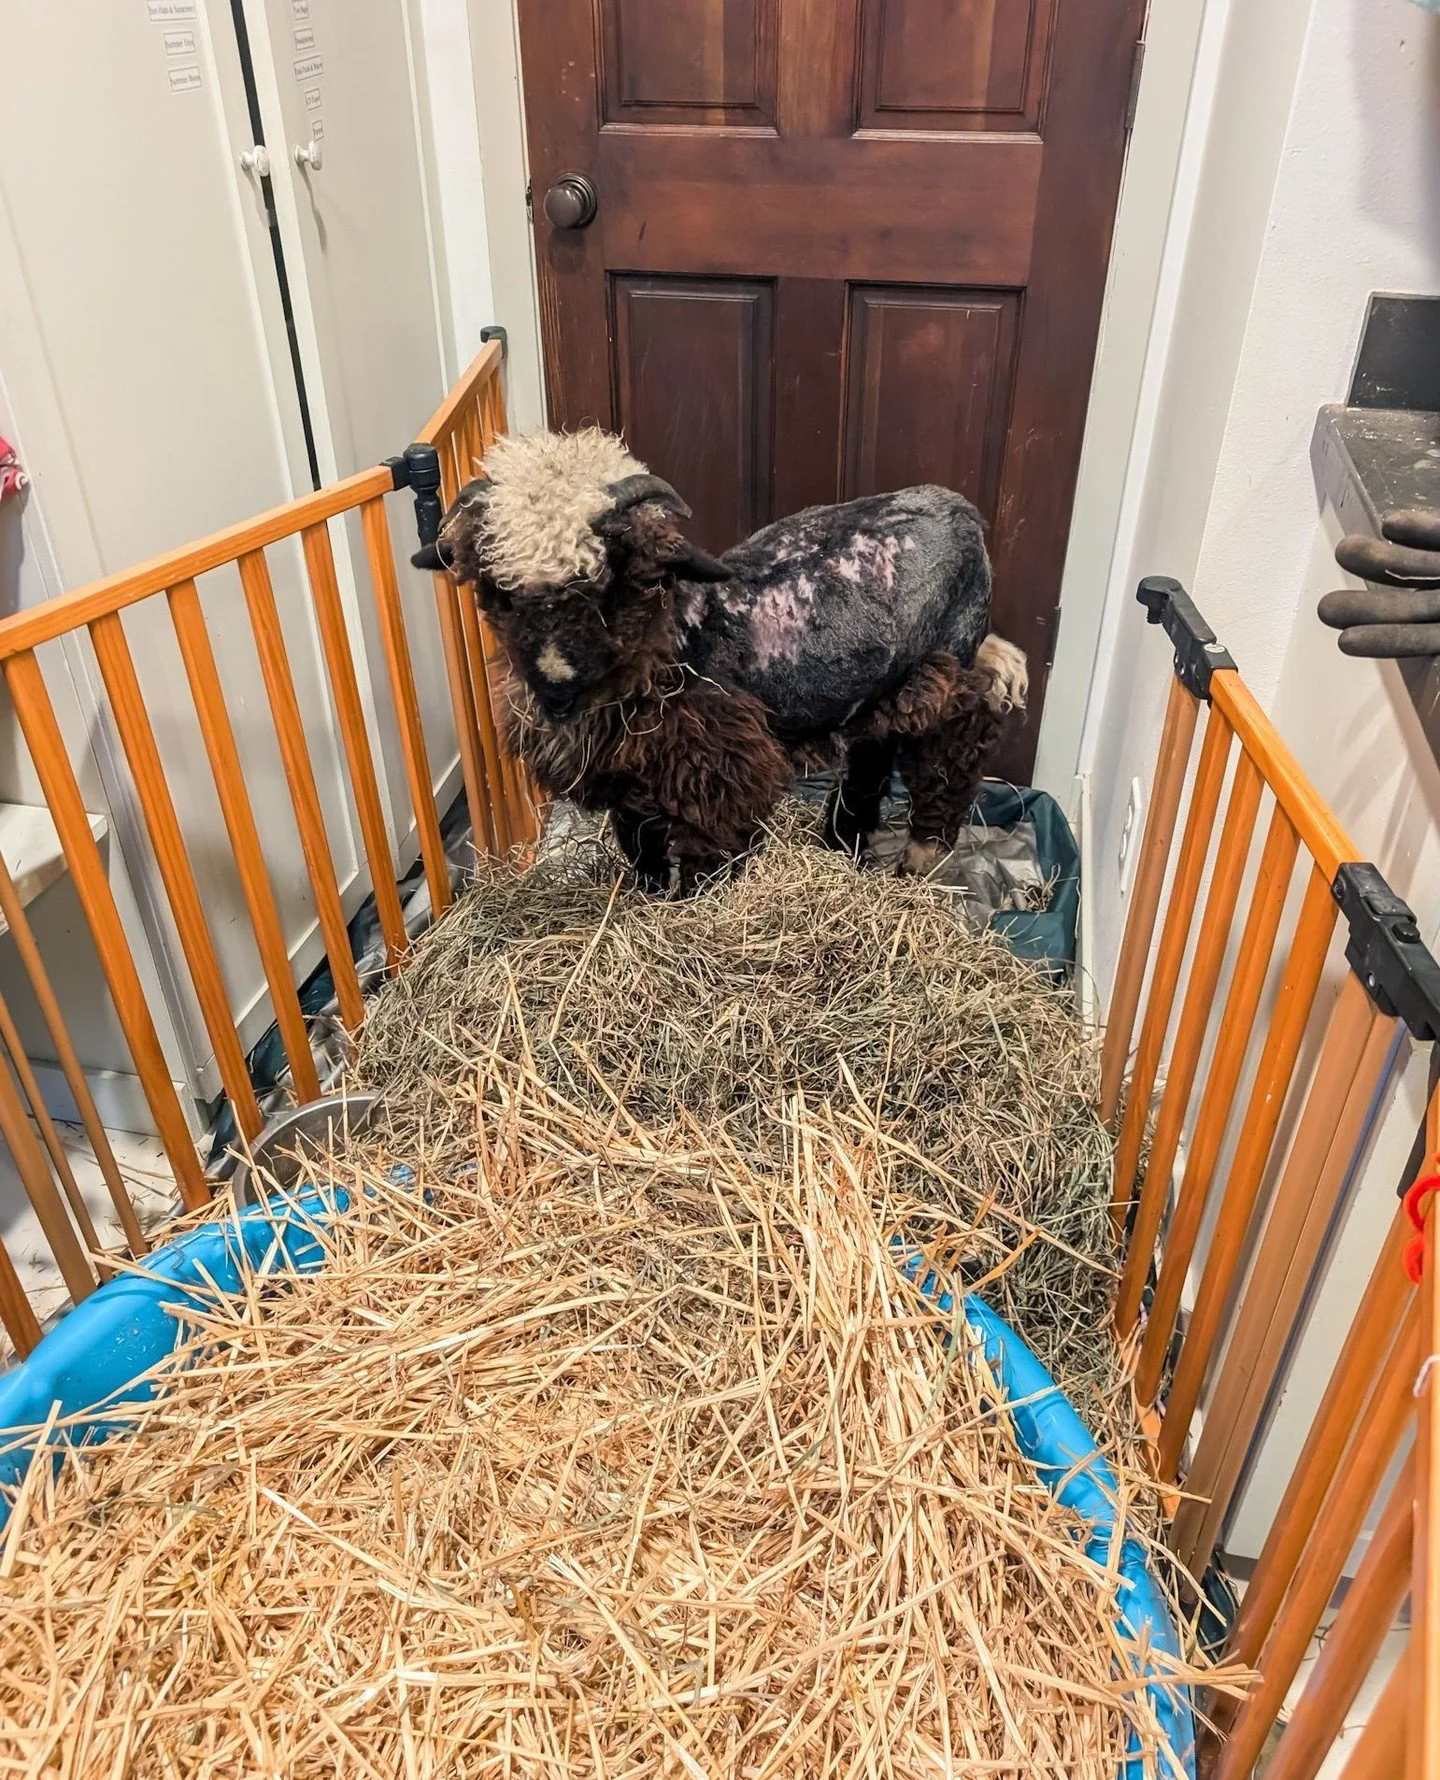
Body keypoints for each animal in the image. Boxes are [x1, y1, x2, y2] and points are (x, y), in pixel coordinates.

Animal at [416, 428, 1028, 889]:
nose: (556, 689)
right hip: (884, 685)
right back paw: (842, 844)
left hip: (946, 665)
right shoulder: (631, 787)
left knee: (952, 747)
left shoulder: (719, 777)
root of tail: (962, 509)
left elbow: (702, 870)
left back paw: (919, 858)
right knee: (872, 756)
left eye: (612, 574)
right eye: (496, 589)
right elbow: (641, 855)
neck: (668, 642)